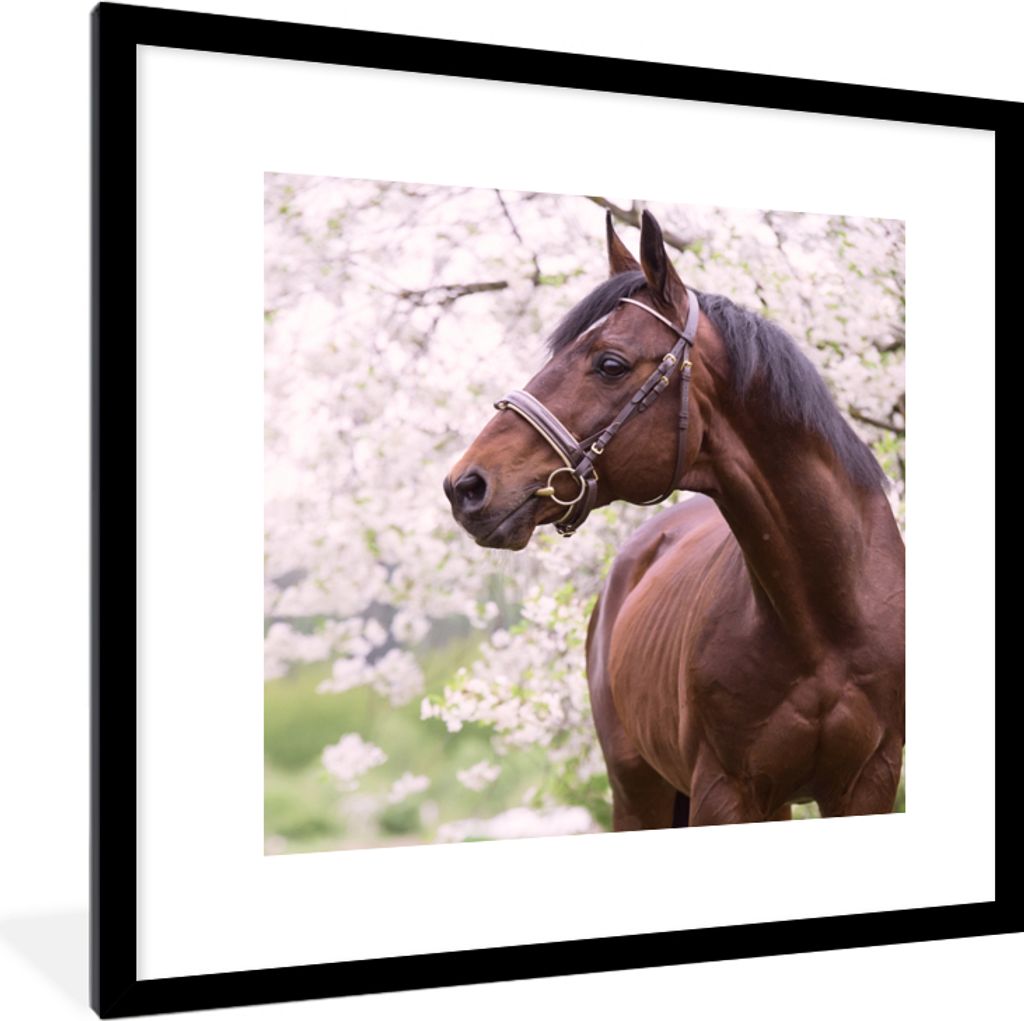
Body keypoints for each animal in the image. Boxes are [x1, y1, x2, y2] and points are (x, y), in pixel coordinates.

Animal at [444, 210, 905, 827]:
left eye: (610, 364)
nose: (466, 486)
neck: (827, 618)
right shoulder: (723, 792)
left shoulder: (868, 782)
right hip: (637, 789)